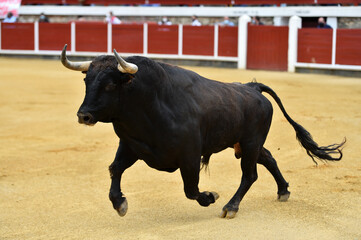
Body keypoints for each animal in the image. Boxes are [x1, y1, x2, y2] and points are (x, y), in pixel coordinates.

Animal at [60, 44, 344, 218]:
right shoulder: (132, 145)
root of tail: (251, 87)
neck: (150, 102)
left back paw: (230, 206)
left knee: (250, 174)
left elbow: (191, 189)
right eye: (86, 81)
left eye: (109, 85)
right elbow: (115, 169)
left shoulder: (189, 155)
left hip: (250, 142)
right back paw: (283, 191)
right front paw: (120, 203)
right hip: (245, 143)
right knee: (269, 159)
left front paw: (211, 196)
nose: (83, 115)